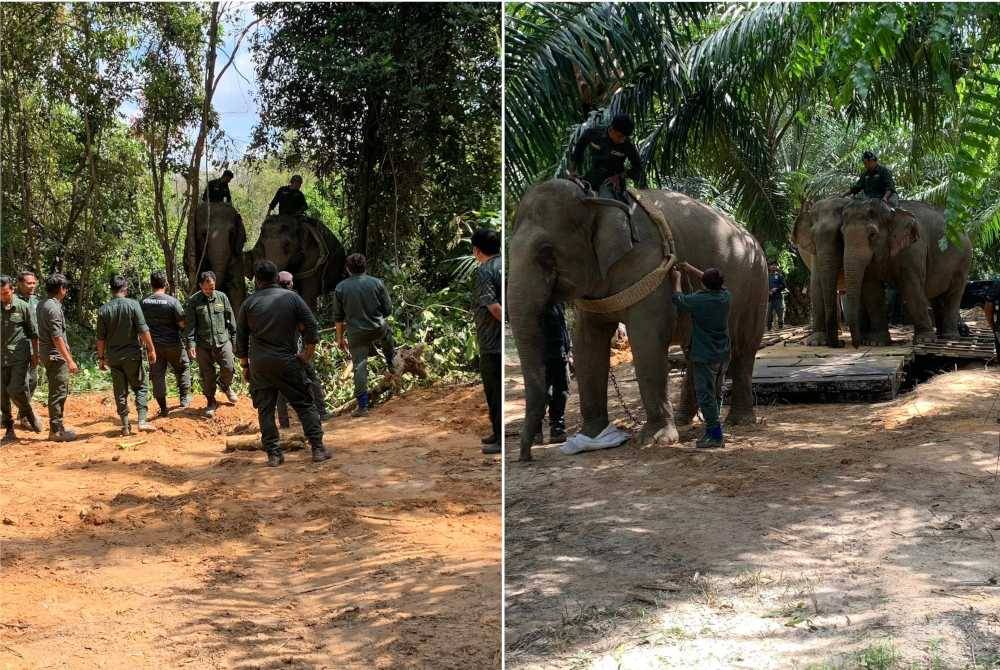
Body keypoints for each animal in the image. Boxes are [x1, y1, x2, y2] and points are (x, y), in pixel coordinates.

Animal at [512, 178, 768, 462]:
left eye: (546, 254)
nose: (526, 456)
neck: (597, 198)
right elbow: (586, 344)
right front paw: (592, 436)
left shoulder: (648, 263)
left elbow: (646, 340)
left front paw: (655, 440)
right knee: (696, 352)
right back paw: (685, 420)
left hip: (757, 284)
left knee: (744, 349)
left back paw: (740, 421)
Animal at [792, 197, 972, 350]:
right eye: (842, 235)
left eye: (872, 234)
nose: (840, 345)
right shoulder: (815, 254)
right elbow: (869, 290)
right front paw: (875, 342)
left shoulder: (914, 247)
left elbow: (911, 285)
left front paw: (924, 339)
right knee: (937, 296)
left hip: (964, 259)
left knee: (953, 293)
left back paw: (949, 337)